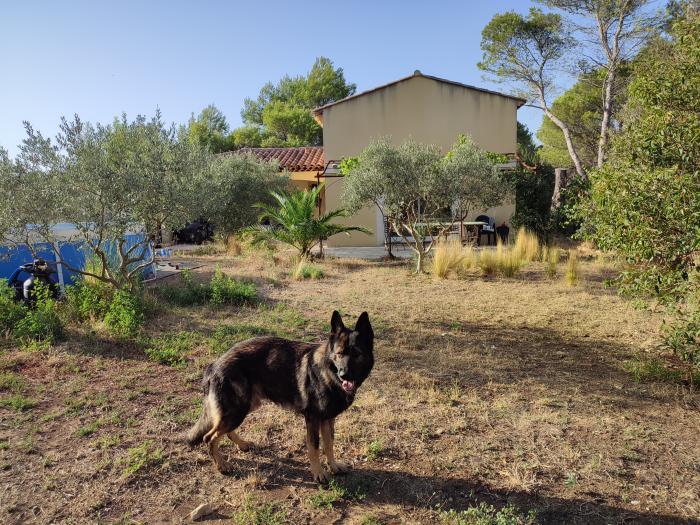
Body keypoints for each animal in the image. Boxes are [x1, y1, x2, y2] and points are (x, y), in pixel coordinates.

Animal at [183, 310, 374, 482]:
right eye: (339, 354)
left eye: (356, 354)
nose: (344, 374)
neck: (328, 372)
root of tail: (214, 364)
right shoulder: (313, 419)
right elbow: (314, 447)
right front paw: (318, 473)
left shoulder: (328, 419)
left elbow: (329, 444)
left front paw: (333, 466)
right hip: (237, 409)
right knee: (209, 437)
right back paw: (222, 465)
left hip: (246, 406)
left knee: (223, 431)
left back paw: (241, 445)